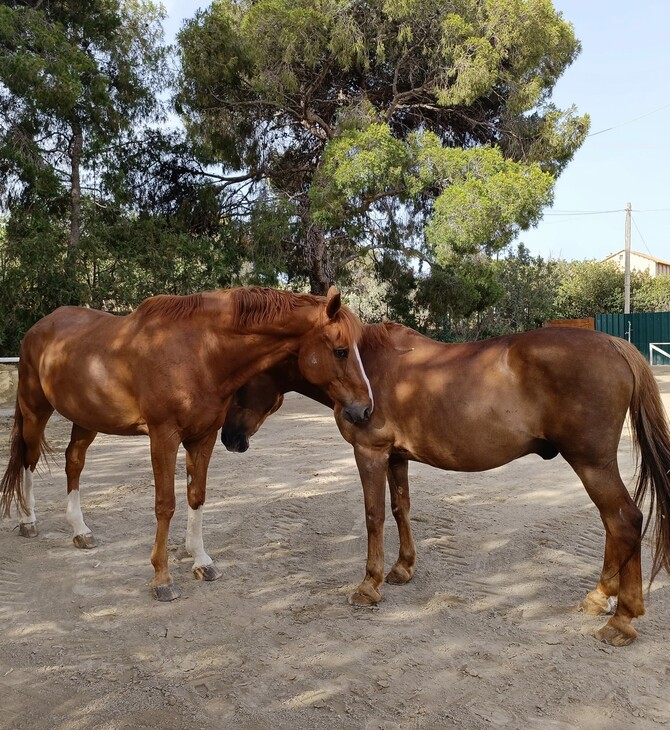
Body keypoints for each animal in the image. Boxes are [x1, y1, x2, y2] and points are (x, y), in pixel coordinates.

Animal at [0, 284, 376, 596]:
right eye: (341, 351)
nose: (365, 408)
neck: (199, 353)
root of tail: (40, 327)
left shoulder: (203, 437)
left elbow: (197, 495)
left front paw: (202, 561)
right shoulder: (163, 437)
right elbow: (165, 504)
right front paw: (162, 578)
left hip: (85, 418)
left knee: (74, 462)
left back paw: (80, 531)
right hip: (35, 410)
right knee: (29, 458)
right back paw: (28, 522)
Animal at [223, 322, 670, 644]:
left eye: (240, 383)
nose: (228, 438)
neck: (363, 369)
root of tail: (614, 343)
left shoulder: (369, 454)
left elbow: (373, 516)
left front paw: (369, 586)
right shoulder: (395, 457)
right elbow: (400, 508)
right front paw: (402, 569)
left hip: (592, 463)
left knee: (624, 520)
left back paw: (622, 620)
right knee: (615, 523)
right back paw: (599, 599)